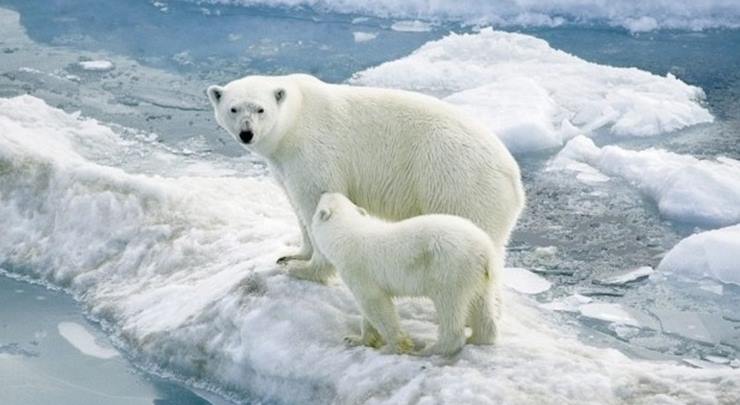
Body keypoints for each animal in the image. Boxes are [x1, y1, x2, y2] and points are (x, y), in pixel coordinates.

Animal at [205, 74, 524, 282]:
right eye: (233, 108)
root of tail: (514, 179)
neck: (295, 120)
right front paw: (293, 255)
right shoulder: (283, 164)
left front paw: (306, 270)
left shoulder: (313, 152)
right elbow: (296, 207)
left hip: (458, 183)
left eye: (260, 109)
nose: (247, 133)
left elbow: (315, 200)